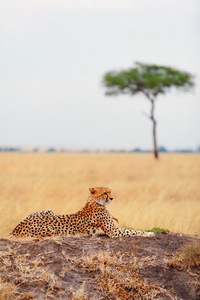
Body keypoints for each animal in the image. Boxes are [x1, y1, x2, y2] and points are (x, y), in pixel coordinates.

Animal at [10, 186, 155, 238]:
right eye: (105, 193)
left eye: (110, 191)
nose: (112, 198)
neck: (94, 202)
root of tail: (16, 228)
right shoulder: (112, 232)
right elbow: (132, 231)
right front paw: (149, 233)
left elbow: (130, 229)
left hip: (49, 210)